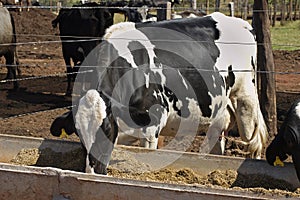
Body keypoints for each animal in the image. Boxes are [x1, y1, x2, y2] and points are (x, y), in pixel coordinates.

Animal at [54, 12, 268, 175]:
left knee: (253, 144)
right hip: (219, 112)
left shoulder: (151, 129)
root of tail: (239, 22)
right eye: (80, 136)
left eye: (105, 132)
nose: (93, 173)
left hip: (245, 101)